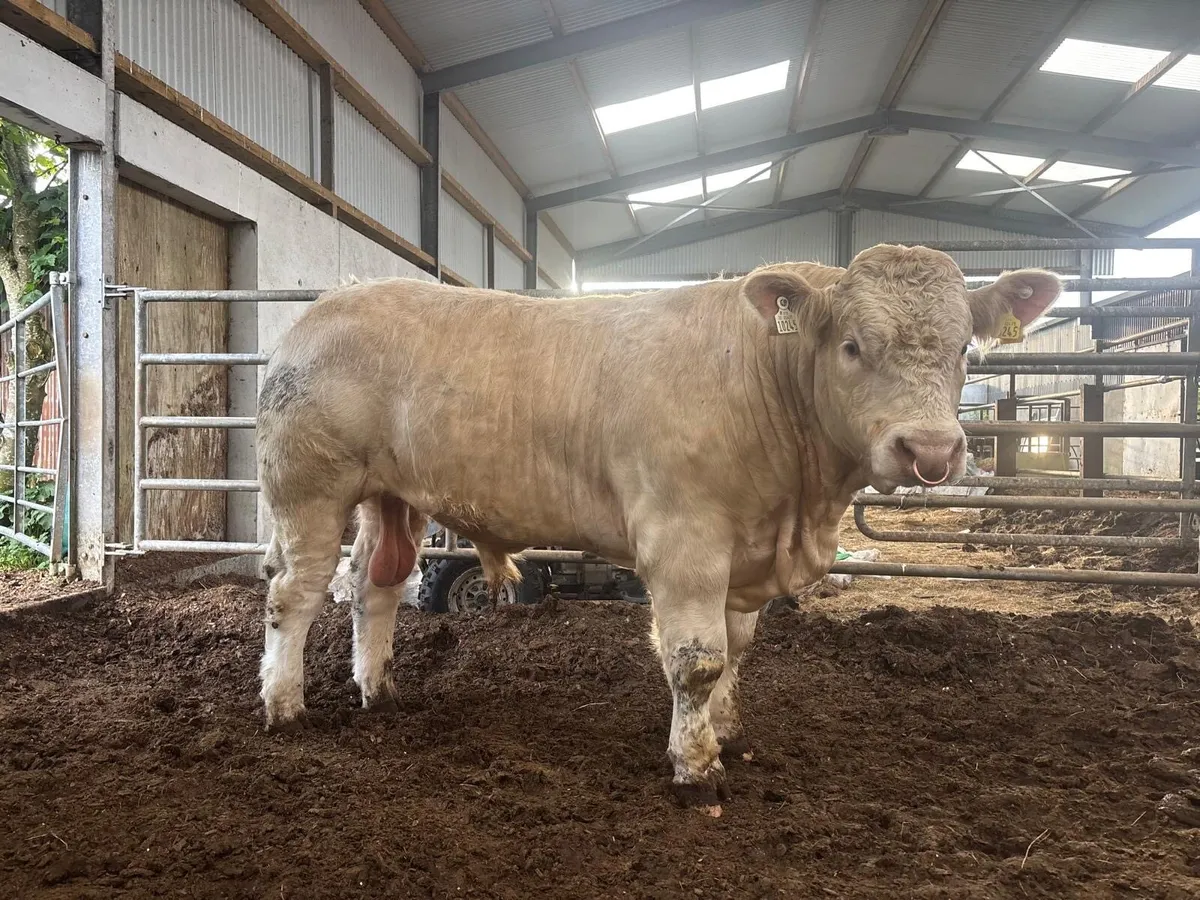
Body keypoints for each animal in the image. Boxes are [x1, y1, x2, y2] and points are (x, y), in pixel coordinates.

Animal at [255, 244, 1059, 815]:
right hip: (308, 486)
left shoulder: (744, 553)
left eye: (965, 349)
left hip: (390, 496)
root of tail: (328, 303)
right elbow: (696, 660)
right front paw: (696, 767)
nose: (930, 451)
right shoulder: (686, 538)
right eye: (853, 345)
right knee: (295, 592)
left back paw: (379, 689)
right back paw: (284, 705)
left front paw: (725, 730)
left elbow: (736, 649)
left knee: (375, 586)